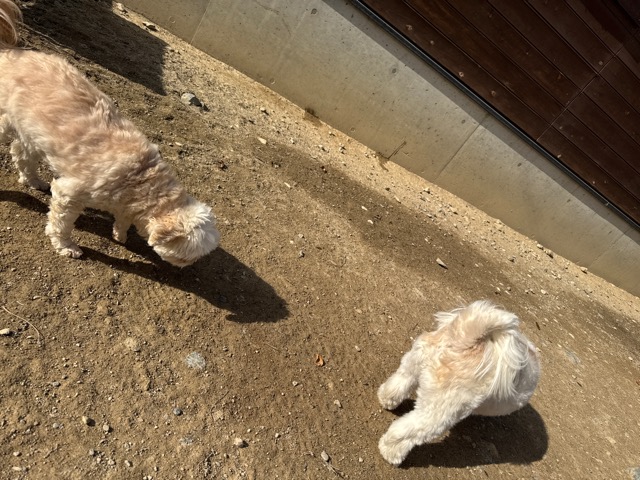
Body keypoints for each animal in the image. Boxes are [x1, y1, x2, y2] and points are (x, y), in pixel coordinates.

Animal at [0, 0, 220, 266]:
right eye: (184, 257)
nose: (184, 268)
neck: (141, 178)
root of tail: (11, 51)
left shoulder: (126, 205)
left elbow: (123, 220)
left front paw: (120, 235)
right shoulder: (69, 193)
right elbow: (61, 223)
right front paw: (66, 246)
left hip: (32, 132)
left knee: (21, 153)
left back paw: (32, 180)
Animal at [377, 300, 540, 466]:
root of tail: (466, 342)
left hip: (414, 362)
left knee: (401, 381)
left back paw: (387, 399)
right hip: (440, 412)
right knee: (407, 430)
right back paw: (390, 453)